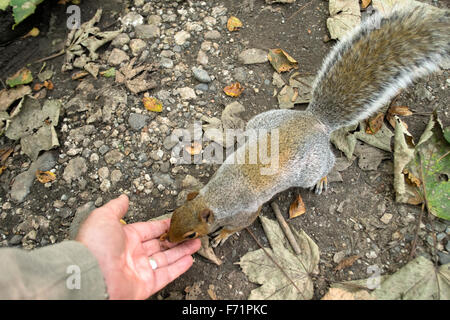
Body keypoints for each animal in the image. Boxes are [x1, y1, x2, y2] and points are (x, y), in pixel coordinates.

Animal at [165, 4, 450, 245]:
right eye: (173, 215)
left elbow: (239, 224)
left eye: (191, 235)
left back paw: (323, 178)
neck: (216, 196)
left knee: (328, 163)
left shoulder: (246, 212)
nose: (167, 240)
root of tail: (314, 121)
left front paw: (223, 234)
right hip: (264, 121)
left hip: (310, 167)